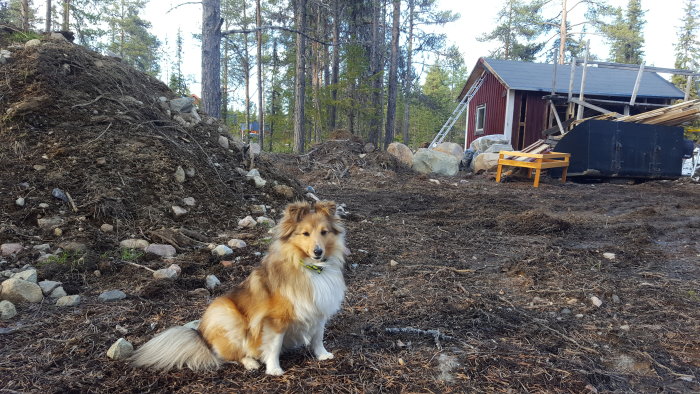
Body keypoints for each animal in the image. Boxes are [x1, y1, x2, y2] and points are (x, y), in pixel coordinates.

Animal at [130, 200, 346, 376]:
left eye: (324, 232)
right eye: (305, 234)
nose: (318, 252)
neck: (311, 268)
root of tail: (201, 336)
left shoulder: (318, 310)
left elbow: (318, 337)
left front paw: (323, 355)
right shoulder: (275, 320)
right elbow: (274, 345)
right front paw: (274, 369)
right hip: (228, 315)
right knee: (229, 356)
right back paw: (251, 363)